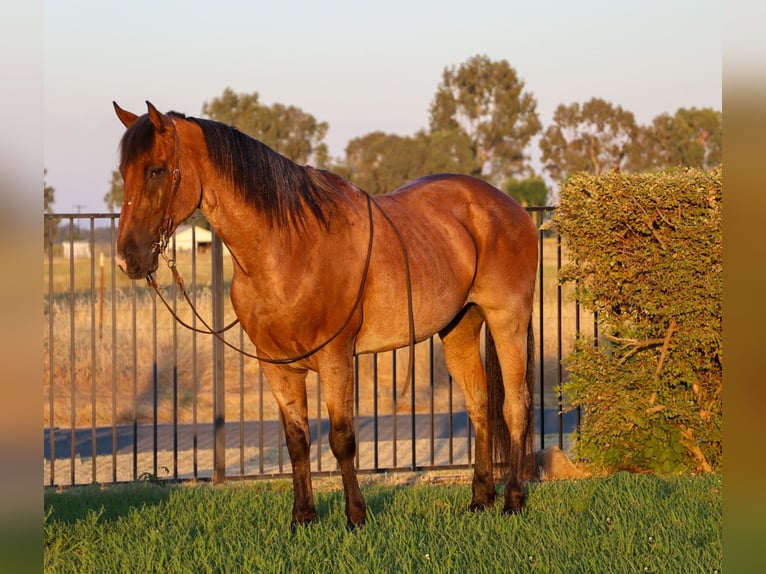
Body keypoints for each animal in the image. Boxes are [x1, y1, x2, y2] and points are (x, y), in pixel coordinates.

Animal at [112, 101, 540, 528]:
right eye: (124, 172)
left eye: (156, 170)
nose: (126, 259)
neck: (286, 250)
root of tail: (511, 208)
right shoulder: (277, 365)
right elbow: (298, 441)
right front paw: (303, 516)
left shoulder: (336, 359)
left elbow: (341, 438)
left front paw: (356, 516)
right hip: (460, 327)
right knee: (479, 404)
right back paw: (481, 498)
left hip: (508, 321)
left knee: (515, 405)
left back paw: (513, 499)